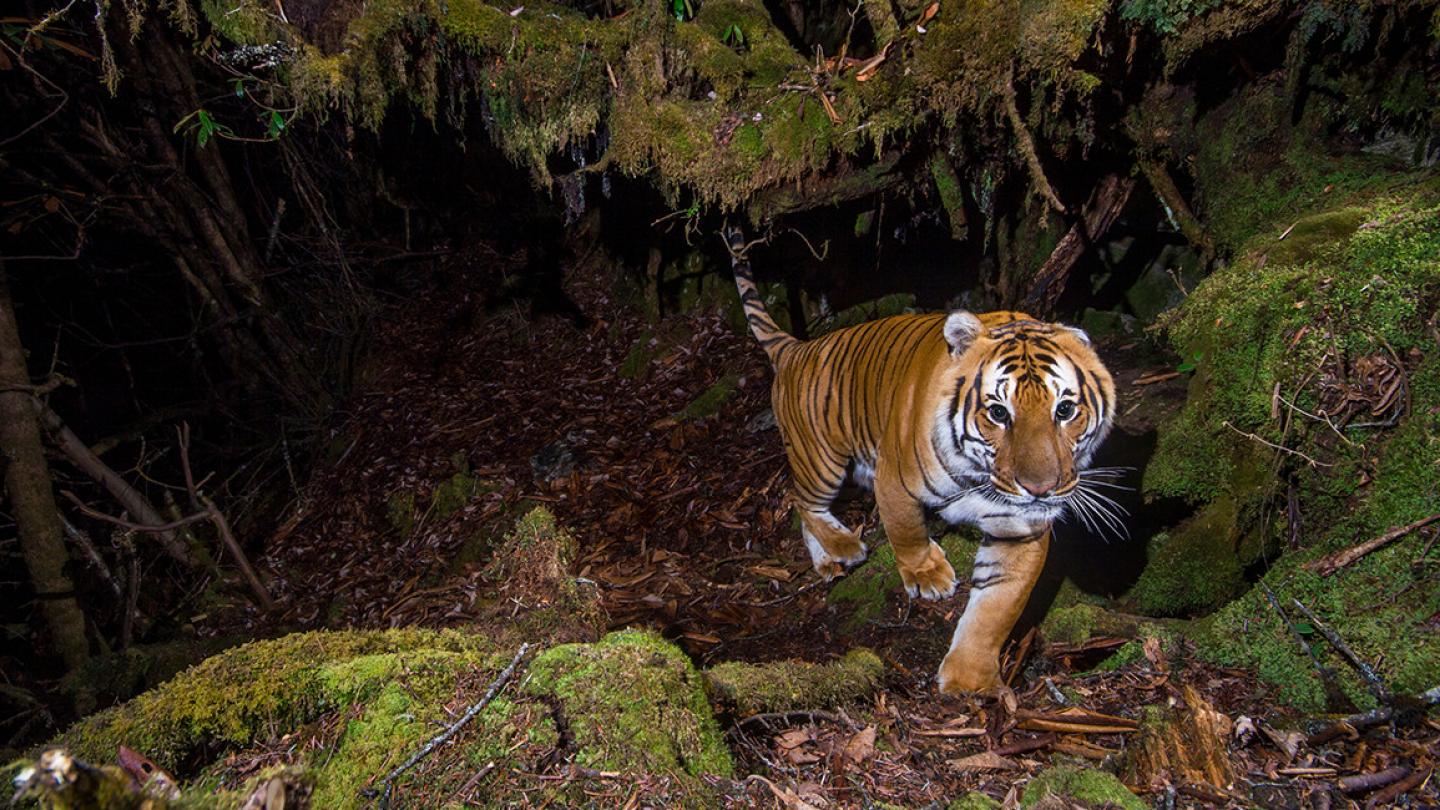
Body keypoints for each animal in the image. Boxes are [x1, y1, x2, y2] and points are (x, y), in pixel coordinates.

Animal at [728, 228, 1117, 694]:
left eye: (1065, 409)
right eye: (998, 412)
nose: (1040, 489)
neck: (980, 475)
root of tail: (796, 348)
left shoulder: (1022, 526)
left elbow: (998, 605)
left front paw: (969, 679)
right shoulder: (895, 480)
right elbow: (906, 531)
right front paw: (928, 575)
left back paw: (827, 560)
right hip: (823, 460)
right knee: (799, 497)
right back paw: (843, 546)